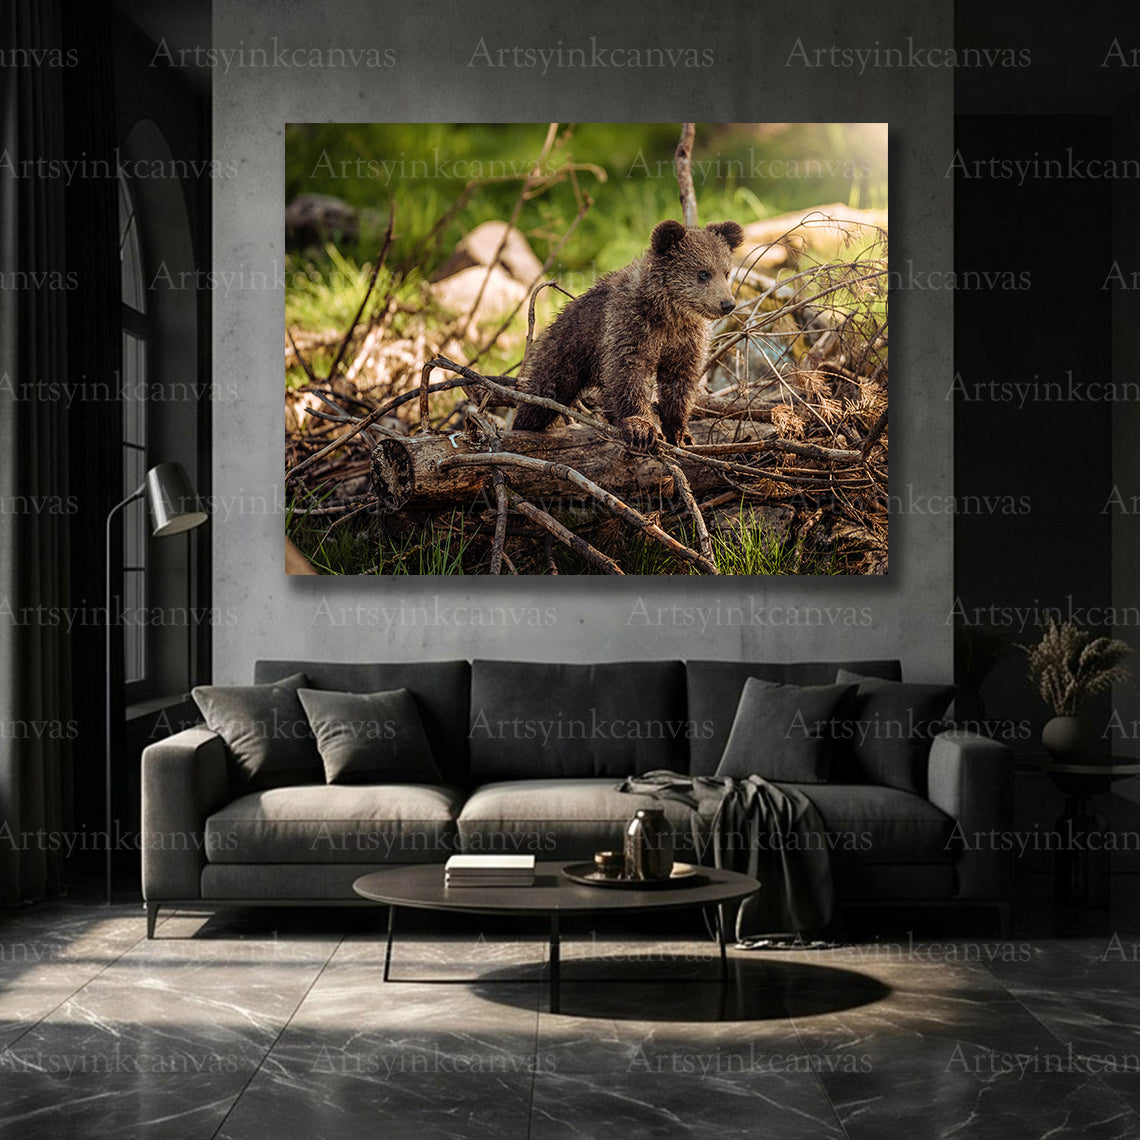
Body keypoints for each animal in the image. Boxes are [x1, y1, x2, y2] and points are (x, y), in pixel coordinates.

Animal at [512, 219, 744, 452]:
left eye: (726, 272)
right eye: (703, 272)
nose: (727, 304)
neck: (669, 313)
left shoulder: (685, 339)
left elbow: (679, 380)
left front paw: (680, 434)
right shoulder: (630, 325)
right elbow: (628, 371)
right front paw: (641, 429)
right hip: (567, 349)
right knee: (543, 393)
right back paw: (523, 426)